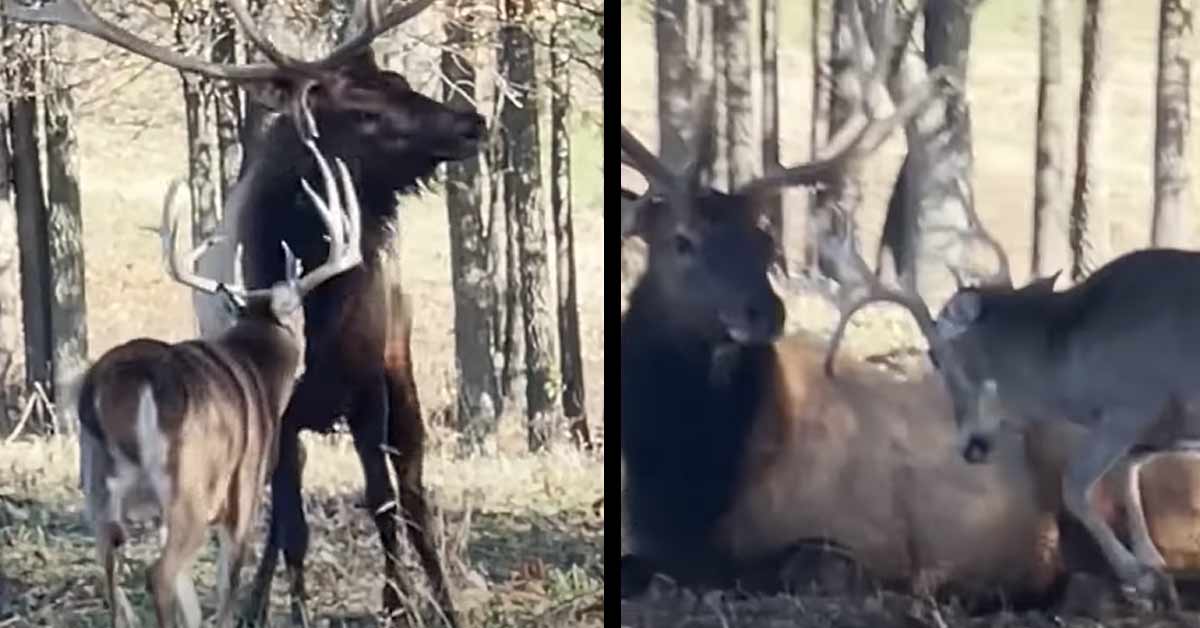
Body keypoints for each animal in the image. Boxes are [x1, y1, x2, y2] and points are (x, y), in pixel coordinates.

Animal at [76, 142, 360, 628]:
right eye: (302, 316)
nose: (306, 362)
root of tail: (122, 382)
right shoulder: (243, 492)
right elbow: (228, 585)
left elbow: (192, 598)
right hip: (189, 485)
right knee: (160, 573)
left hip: (99, 485)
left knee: (109, 567)